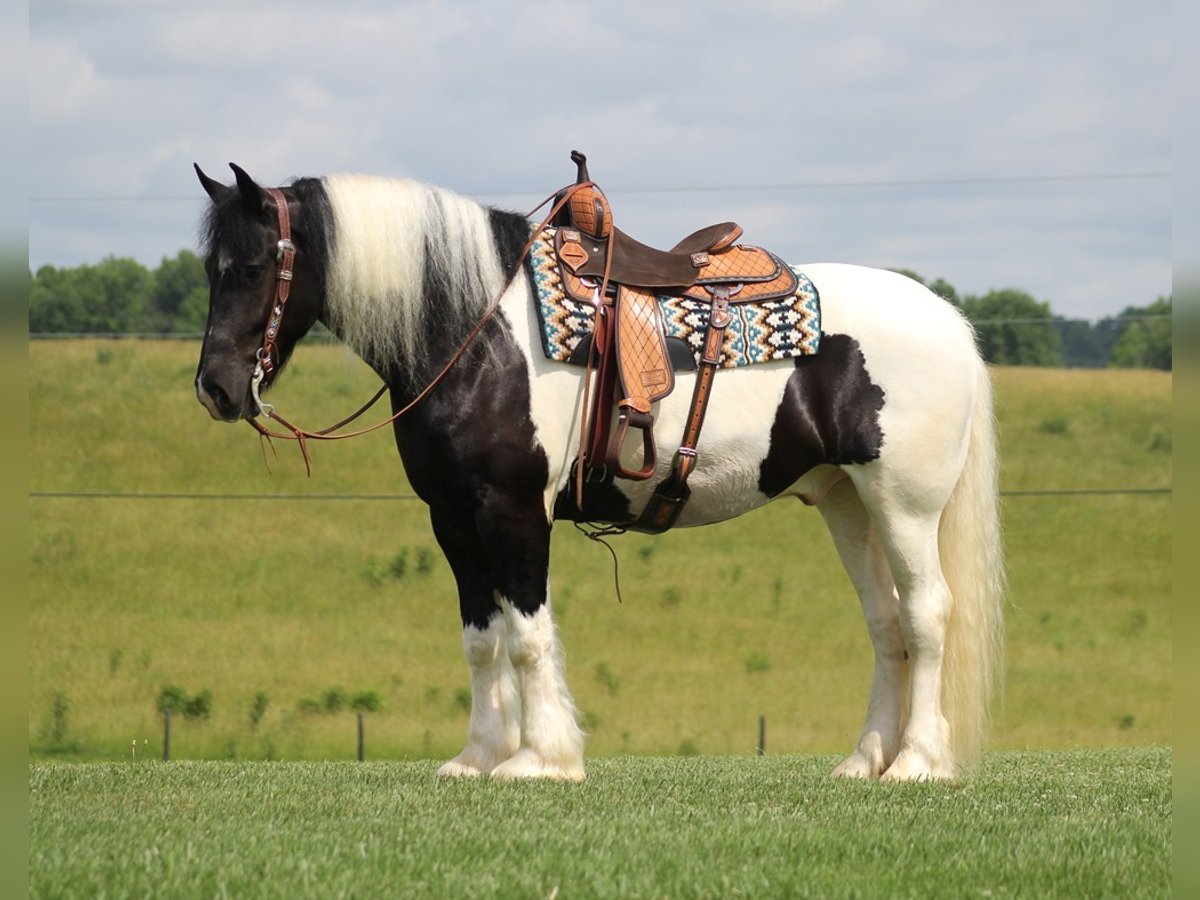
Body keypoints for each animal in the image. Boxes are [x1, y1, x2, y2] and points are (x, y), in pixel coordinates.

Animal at [194, 165, 1003, 787]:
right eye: (209, 269)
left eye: (255, 266)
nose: (216, 390)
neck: (477, 333)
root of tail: (948, 320)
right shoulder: (451, 517)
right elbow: (481, 639)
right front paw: (477, 757)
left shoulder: (515, 508)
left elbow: (527, 634)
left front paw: (539, 760)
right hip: (847, 502)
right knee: (885, 621)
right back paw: (865, 761)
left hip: (903, 504)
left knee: (926, 613)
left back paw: (917, 763)